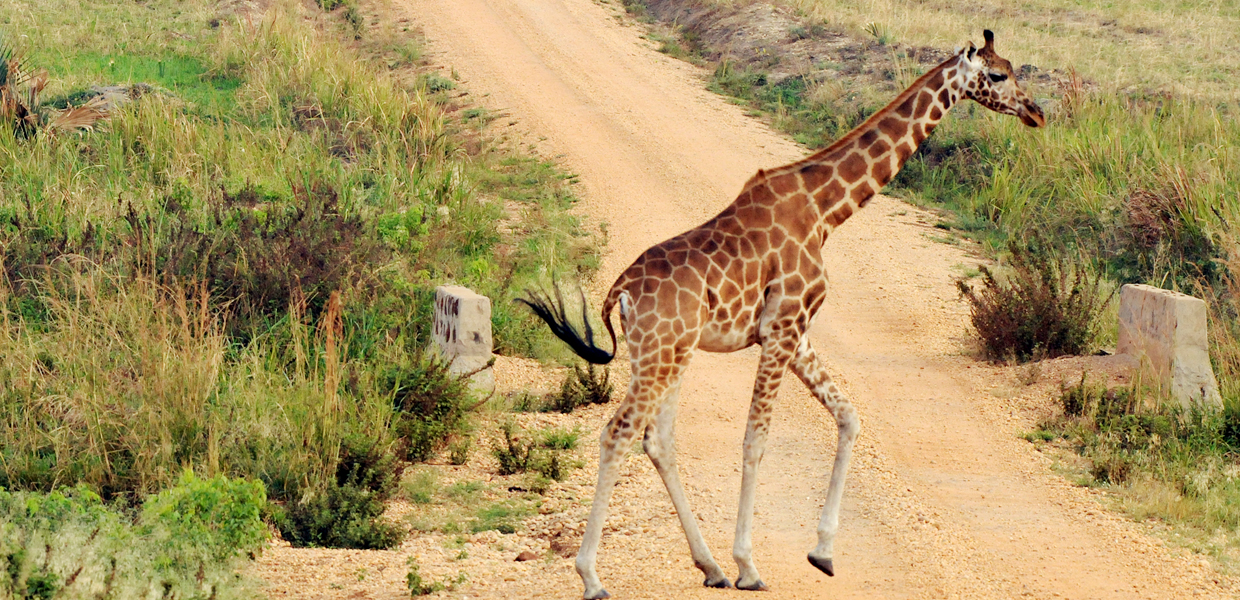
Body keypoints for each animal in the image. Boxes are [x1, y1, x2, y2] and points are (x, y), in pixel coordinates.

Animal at [523, 29, 1046, 600]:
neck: (825, 210)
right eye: (996, 75)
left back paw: (709, 567)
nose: (1036, 113)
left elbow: (848, 416)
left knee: (658, 440)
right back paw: (593, 576)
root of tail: (618, 291)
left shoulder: (796, 332)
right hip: (661, 353)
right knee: (618, 432)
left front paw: (823, 553)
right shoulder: (783, 327)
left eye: (1012, 68)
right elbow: (756, 439)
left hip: (668, 353)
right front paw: (750, 565)